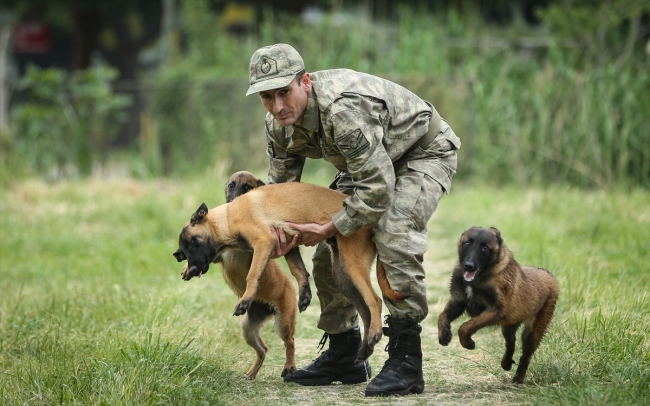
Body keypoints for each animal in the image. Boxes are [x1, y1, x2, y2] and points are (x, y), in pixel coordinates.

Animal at [436, 227, 556, 386]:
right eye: (467, 243)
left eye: (484, 248)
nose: (468, 266)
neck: (481, 276)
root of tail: (547, 274)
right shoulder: (458, 302)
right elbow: (442, 316)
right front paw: (444, 334)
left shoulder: (495, 310)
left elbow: (465, 327)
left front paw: (468, 343)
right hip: (510, 325)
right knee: (511, 342)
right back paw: (506, 363)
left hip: (533, 332)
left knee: (526, 355)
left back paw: (518, 379)